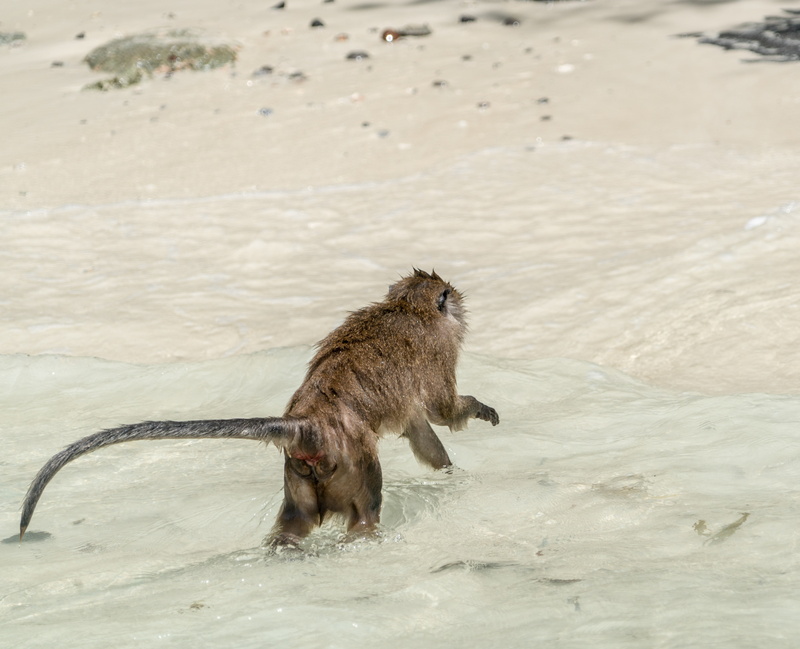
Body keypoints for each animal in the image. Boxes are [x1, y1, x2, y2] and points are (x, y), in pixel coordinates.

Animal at [19, 269, 499, 548]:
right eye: (449, 294)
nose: (459, 302)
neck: (406, 307)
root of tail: (308, 423)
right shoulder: (439, 347)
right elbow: (439, 409)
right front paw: (478, 410)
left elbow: (421, 424)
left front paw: (450, 472)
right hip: (352, 464)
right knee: (365, 511)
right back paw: (365, 541)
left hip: (299, 474)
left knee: (293, 524)